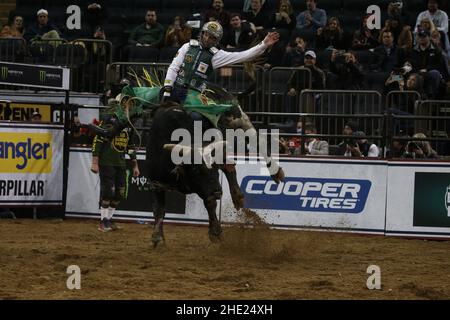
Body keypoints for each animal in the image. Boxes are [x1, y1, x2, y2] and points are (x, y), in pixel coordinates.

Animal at [89, 81, 284, 246]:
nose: (218, 191)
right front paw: (157, 237)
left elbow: (210, 203)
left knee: (252, 143)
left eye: (212, 169)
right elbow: (159, 209)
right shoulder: (156, 182)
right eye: (196, 170)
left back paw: (270, 176)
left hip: (238, 119)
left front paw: (215, 232)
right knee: (230, 167)